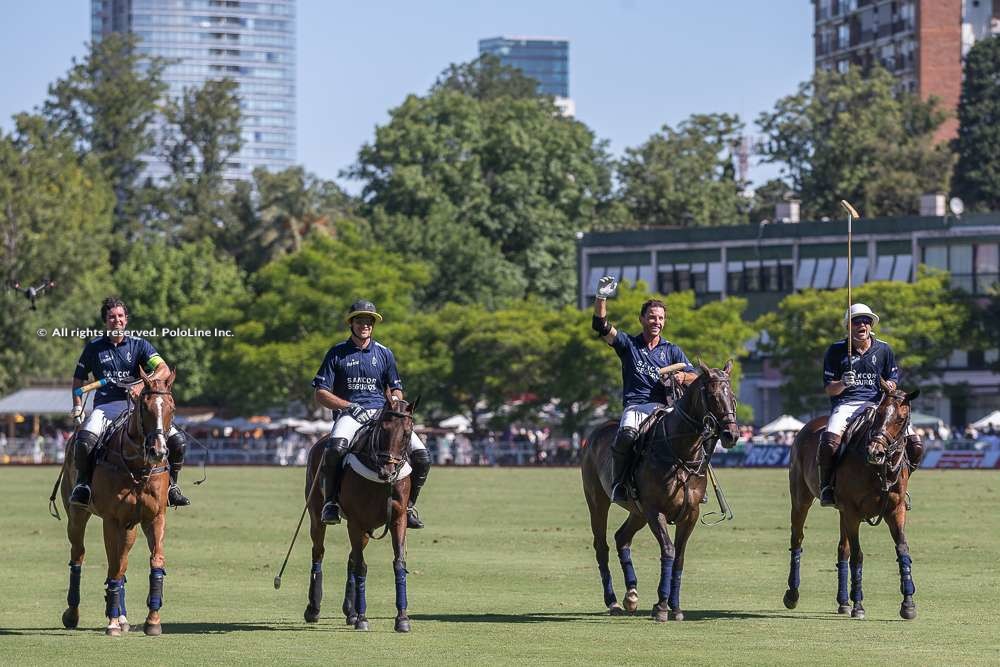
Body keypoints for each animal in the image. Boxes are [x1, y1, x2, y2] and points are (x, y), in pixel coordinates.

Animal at [60, 370, 178, 636]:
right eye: (144, 407)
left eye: (172, 407)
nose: (158, 451)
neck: (138, 466)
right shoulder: (111, 520)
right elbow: (115, 566)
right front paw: (112, 623)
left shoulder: (155, 517)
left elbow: (155, 562)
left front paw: (152, 620)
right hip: (76, 515)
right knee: (78, 555)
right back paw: (73, 614)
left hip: (130, 527)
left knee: (121, 561)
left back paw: (122, 617)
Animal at [302, 400, 416, 636]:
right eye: (383, 428)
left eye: (408, 433)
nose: (388, 472)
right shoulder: (356, 521)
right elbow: (362, 566)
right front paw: (363, 618)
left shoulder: (398, 519)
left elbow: (399, 563)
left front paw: (402, 618)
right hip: (317, 514)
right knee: (319, 551)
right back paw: (313, 608)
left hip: (366, 528)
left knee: (352, 558)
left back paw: (350, 611)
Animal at [584, 362, 740, 624]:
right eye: (713, 396)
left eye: (733, 397)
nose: (732, 435)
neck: (681, 452)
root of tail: (597, 431)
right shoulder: (655, 510)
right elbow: (668, 550)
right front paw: (662, 606)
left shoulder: (690, 513)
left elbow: (679, 557)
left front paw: (675, 607)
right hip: (598, 500)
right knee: (601, 546)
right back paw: (613, 601)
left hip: (637, 511)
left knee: (622, 538)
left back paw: (631, 595)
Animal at [780, 380, 920, 620]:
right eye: (879, 413)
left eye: (901, 419)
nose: (875, 452)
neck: (878, 470)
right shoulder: (853, 511)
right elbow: (858, 555)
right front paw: (859, 605)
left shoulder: (895, 509)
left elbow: (902, 549)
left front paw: (908, 603)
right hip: (801, 499)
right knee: (797, 539)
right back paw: (792, 594)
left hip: (841, 511)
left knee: (841, 548)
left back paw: (843, 601)